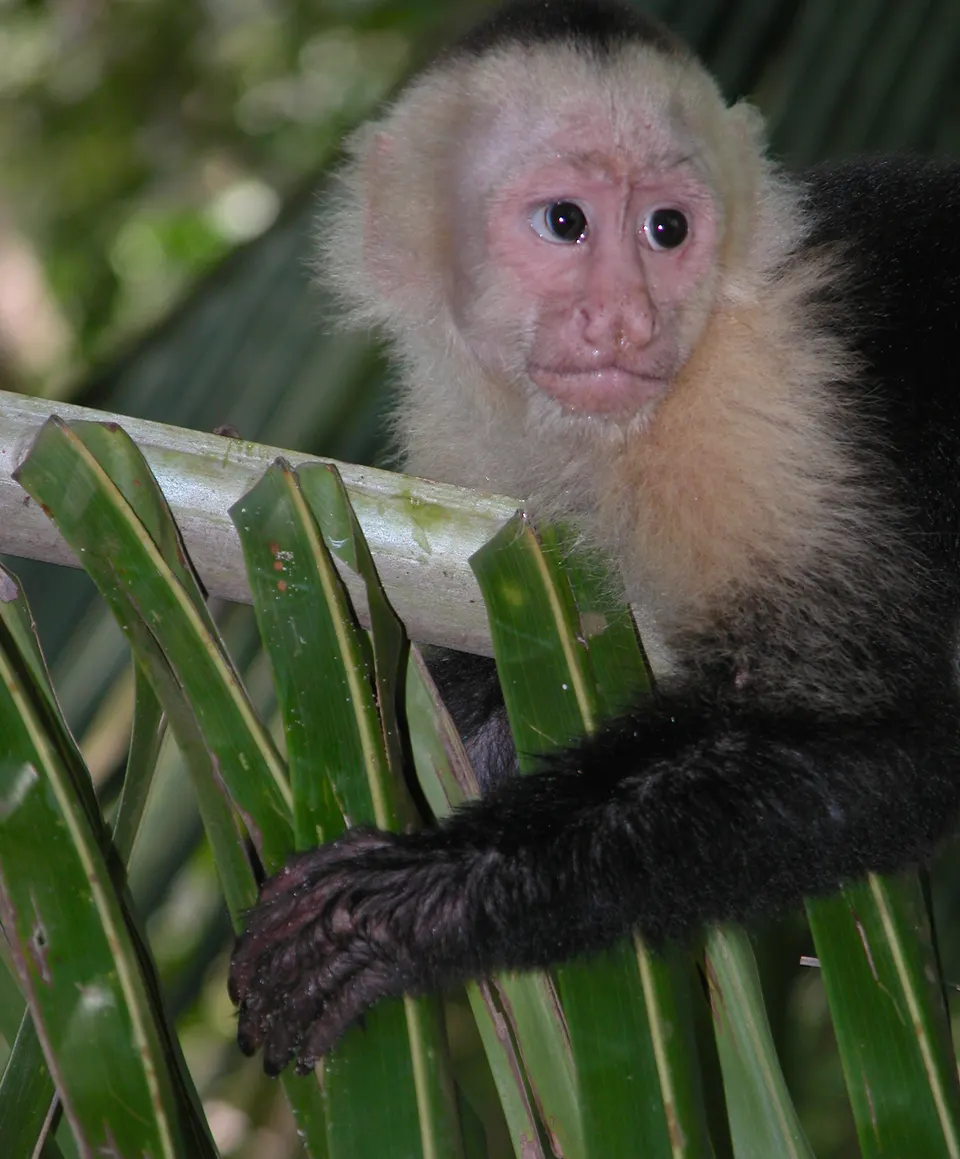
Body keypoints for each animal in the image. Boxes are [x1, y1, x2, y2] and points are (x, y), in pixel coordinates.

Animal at [228, 0, 960, 1076]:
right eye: (565, 222)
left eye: (669, 230)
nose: (623, 319)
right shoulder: (461, 441)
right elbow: (463, 694)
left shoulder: (756, 411)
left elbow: (879, 730)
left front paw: (404, 906)